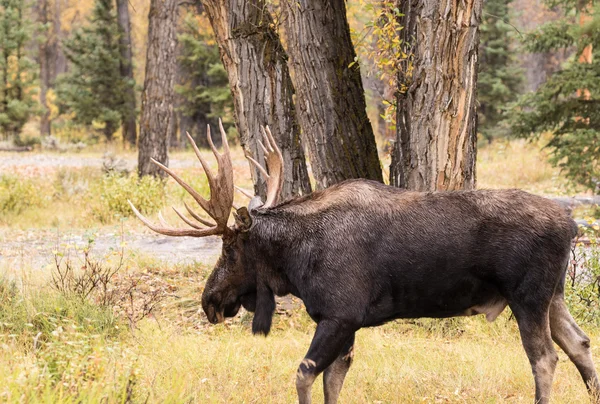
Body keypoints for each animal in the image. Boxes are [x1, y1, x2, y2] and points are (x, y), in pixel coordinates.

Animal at [131, 124, 600, 404]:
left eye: (229, 249)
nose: (209, 301)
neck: (296, 260)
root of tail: (571, 224)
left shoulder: (340, 314)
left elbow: (304, 374)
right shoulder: (345, 323)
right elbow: (332, 381)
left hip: (528, 296)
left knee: (545, 358)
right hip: (554, 295)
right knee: (579, 343)